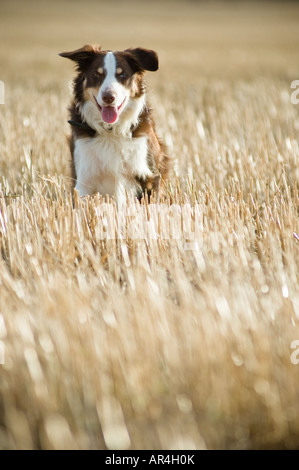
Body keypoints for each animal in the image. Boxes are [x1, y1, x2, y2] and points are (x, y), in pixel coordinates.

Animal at [59, 44, 171, 204]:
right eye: (96, 74)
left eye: (122, 75)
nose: (108, 97)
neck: (110, 130)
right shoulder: (84, 180)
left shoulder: (149, 177)